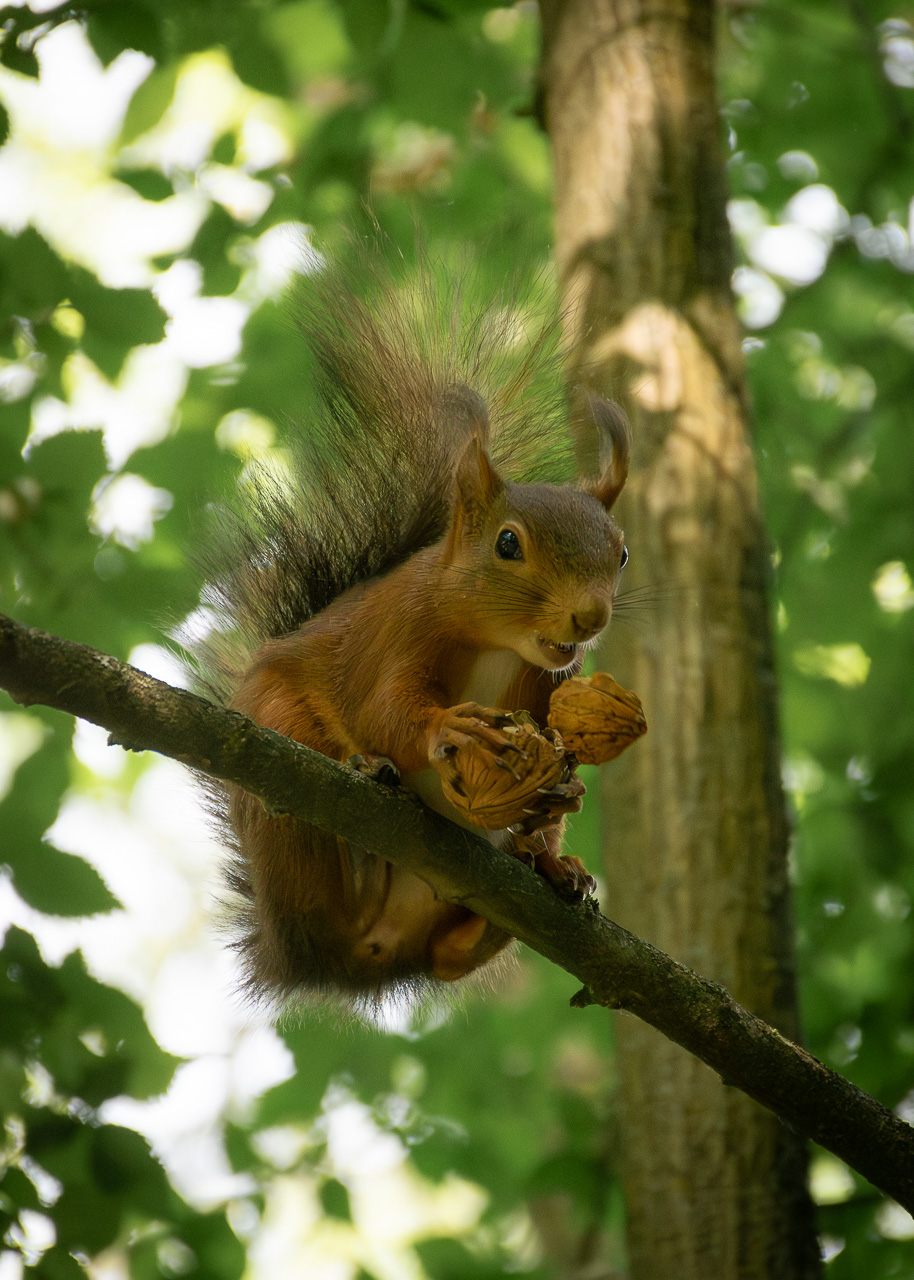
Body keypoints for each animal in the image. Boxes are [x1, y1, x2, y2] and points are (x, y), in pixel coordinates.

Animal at [190, 257, 630, 1013]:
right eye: (508, 544)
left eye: (622, 553)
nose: (589, 617)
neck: (496, 645)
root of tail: (330, 963)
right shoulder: (399, 633)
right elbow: (385, 709)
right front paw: (448, 729)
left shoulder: (553, 684)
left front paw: (562, 797)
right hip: (281, 767)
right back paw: (362, 821)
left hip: (439, 926)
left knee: (448, 959)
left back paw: (545, 871)